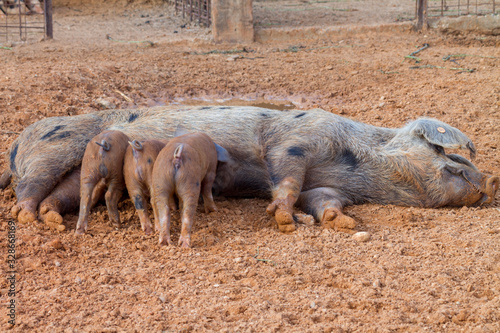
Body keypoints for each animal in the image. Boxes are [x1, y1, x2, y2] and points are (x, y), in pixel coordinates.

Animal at [1, 105, 498, 231]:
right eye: (457, 155)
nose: (491, 183)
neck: (361, 167)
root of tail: (15, 145)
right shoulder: (299, 138)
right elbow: (287, 175)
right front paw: (284, 219)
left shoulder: (331, 185)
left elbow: (321, 199)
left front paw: (337, 222)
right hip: (50, 151)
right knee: (26, 191)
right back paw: (28, 218)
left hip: (73, 173)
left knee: (61, 196)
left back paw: (50, 220)